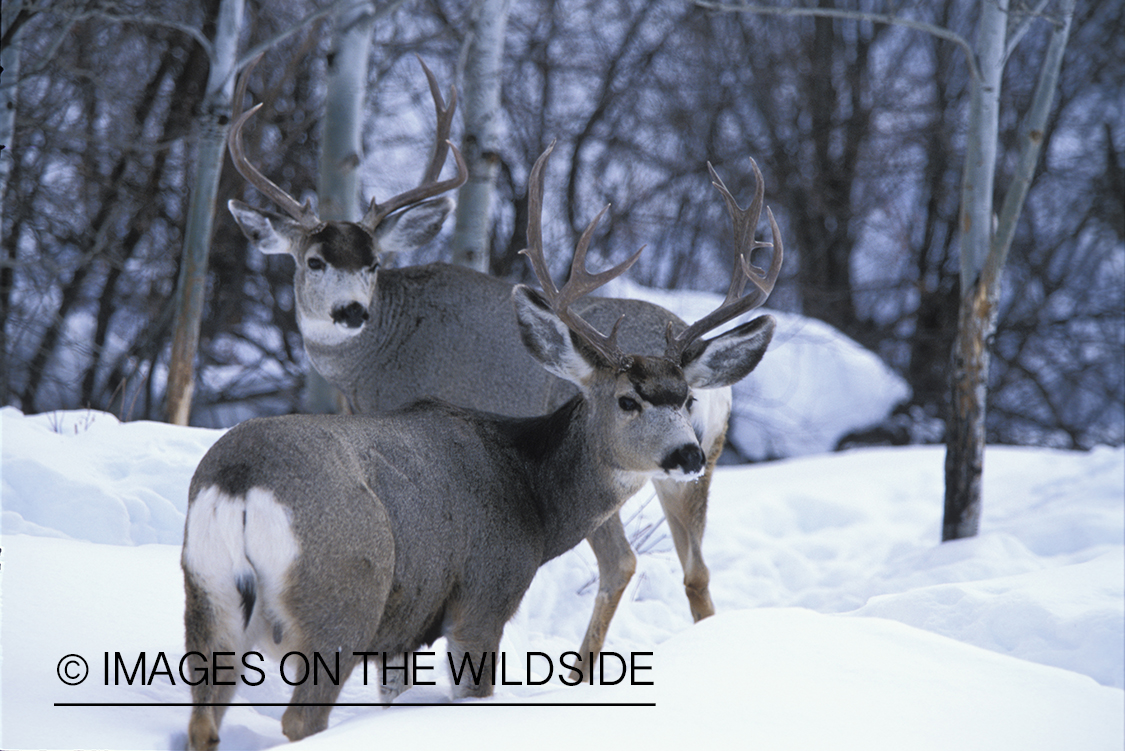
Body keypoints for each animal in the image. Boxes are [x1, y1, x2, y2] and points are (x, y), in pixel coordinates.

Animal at [182, 142, 781, 749]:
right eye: (627, 400)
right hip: (340, 594)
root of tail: (239, 482)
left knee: (204, 722)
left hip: (210, 598)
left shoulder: (411, 621)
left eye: (684, 397)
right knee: (298, 718)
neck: (530, 494)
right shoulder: (484, 595)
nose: (687, 454)